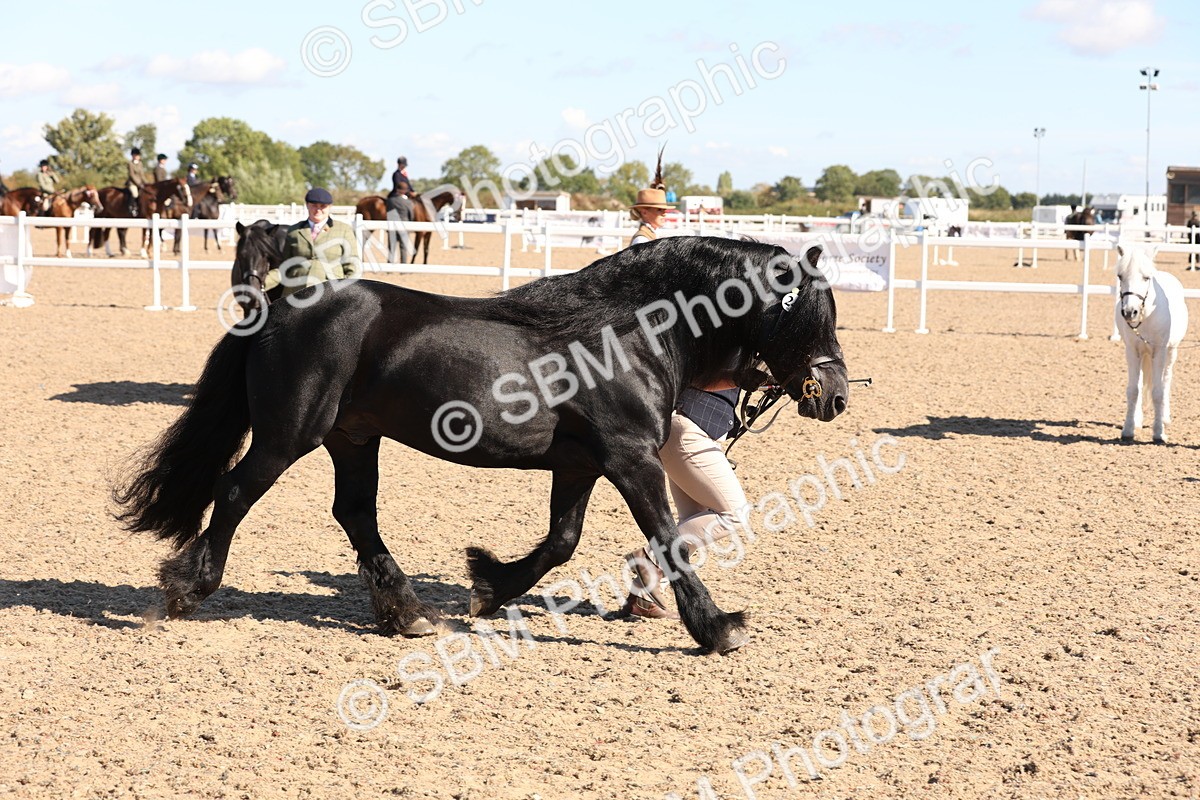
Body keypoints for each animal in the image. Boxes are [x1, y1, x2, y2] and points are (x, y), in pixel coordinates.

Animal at [113, 236, 850, 654]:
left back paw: (408, 614)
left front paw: (488, 586)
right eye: (809, 315)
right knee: (235, 491)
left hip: (353, 438)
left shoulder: (581, 465)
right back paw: (184, 590)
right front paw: (718, 629)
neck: (628, 332)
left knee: (355, 514)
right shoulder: (631, 460)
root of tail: (276, 306)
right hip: (289, 434)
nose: (836, 396)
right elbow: (668, 543)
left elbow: (561, 542)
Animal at [1114, 244, 1189, 443]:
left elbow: (1158, 391)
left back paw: (1165, 417)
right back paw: (1138, 420)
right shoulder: (1132, 352)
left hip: (1171, 353)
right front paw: (1128, 429)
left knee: (1166, 380)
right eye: (1120, 276)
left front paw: (1158, 433)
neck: (1147, 314)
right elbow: (1133, 390)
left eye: (1146, 277)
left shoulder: (1159, 352)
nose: (1129, 312)